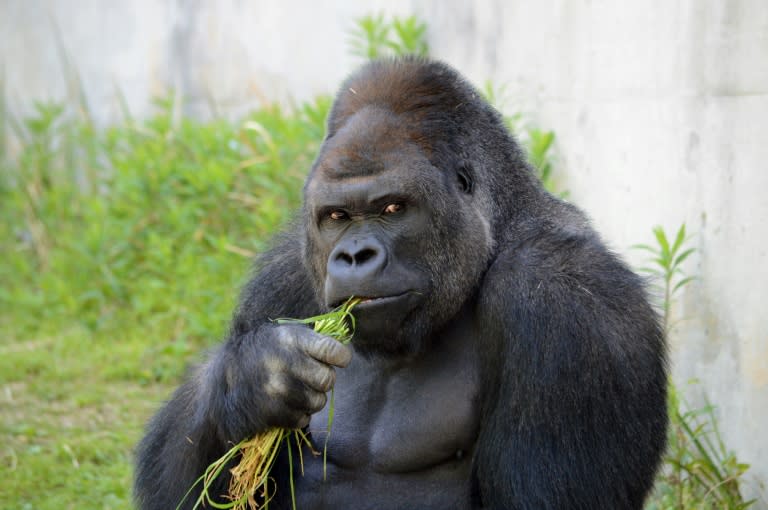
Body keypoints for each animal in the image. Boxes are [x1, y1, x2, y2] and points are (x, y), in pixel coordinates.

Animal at [135, 57, 668, 508]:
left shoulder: (565, 305)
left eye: (393, 207)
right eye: (337, 216)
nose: (354, 256)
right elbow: (187, 495)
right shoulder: (283, 274)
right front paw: (254, 379)